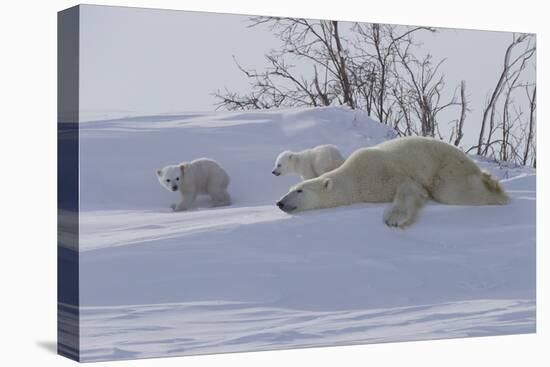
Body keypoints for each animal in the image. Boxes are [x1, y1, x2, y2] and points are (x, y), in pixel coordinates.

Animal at [278, 137, 512, 227]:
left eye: (299, 191)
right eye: (290, 188)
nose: (280, 203)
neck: (356, 177)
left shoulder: (386, 170)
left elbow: (410, 188)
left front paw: (394, 219)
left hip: (447, 167)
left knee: (454, 191)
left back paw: (496, 190)